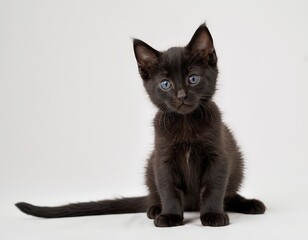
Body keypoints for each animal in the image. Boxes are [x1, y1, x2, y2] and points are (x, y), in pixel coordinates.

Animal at [15, 23, 264, 228]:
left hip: (237, 164)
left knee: (228, 194)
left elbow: (214, 187)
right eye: (165, 84)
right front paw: (170, 216)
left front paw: (212, 215)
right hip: (149, 166)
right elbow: (167, 189)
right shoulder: (162, 158)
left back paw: (250, 203)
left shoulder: (219, 156)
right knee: (156, 194)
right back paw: (154, 209)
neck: (185, 124)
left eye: (193, 78)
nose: (181, 96)